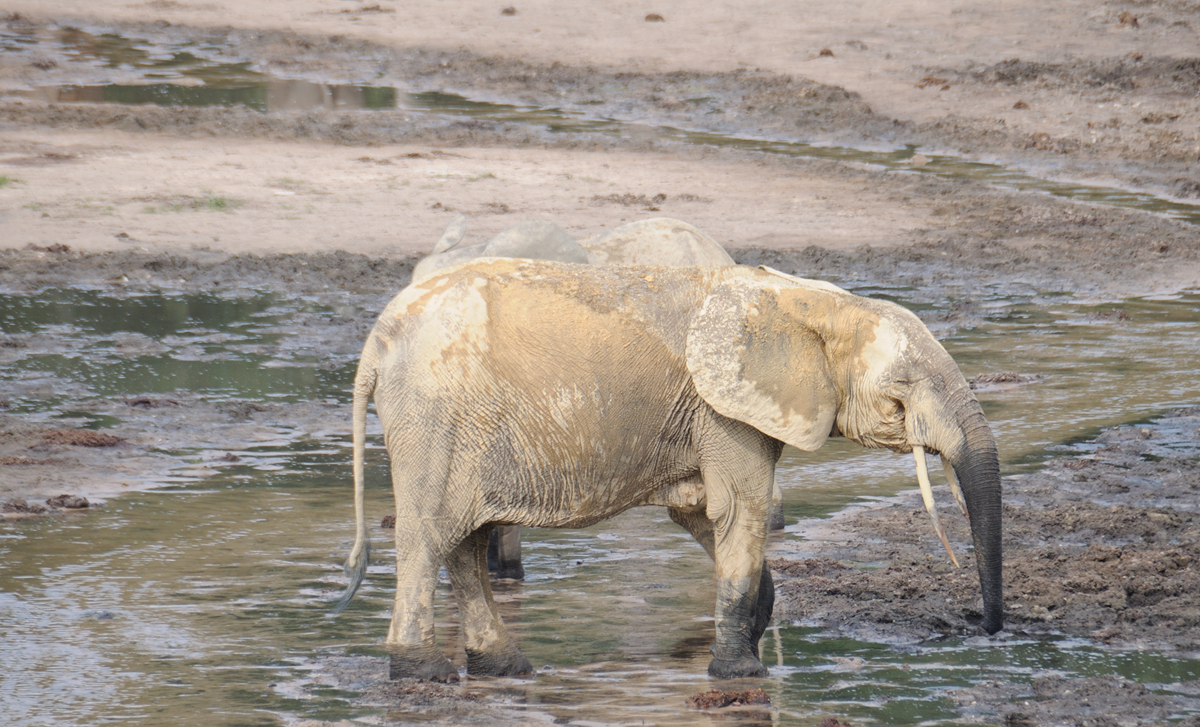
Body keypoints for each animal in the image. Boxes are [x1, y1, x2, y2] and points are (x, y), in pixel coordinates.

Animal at [333, 258, 1003, 682]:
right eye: (905, 385)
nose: (988, 632)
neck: (816, 301)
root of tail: (375, 342)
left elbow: (704, 514)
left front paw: (754, 624)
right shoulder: (723, 409)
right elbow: (740, 509)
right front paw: (743, 673)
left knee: (465, 543)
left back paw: (507, 670)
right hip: (436, 419)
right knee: (431, 537)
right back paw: (422, 676)